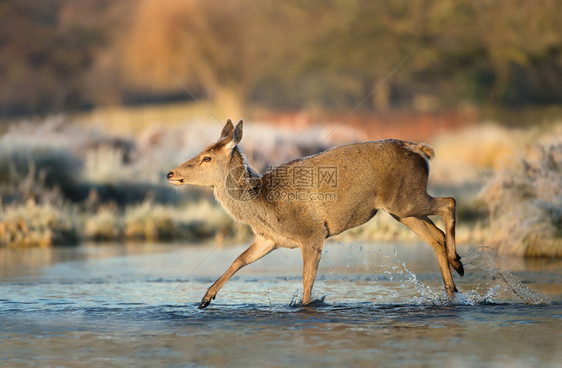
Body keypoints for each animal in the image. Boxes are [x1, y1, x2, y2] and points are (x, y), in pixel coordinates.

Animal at [166, 118, 464, 308]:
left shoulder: (311, 233)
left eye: (207, 157)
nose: (171, 173)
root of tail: (418, 148)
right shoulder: (270, 238)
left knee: (449, 202)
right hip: (400, 209)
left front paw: (305, 305)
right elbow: (239, 260)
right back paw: (452, 289)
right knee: (436, 236)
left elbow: (307, 282)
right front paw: (206, 298)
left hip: (405, 200)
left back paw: (457, 264)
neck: (262, 204)